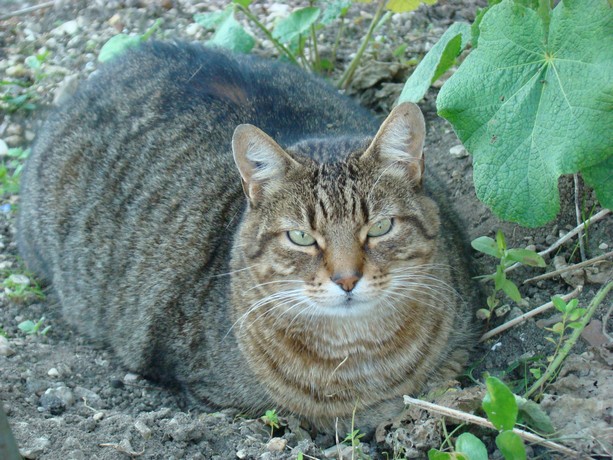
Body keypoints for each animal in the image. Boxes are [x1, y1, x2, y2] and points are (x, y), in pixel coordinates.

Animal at [17, 40, 478, 432]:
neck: (356, 351)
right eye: (301, 237)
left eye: (380, 227)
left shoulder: (458, 346)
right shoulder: (215, 394)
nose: (347, 279)